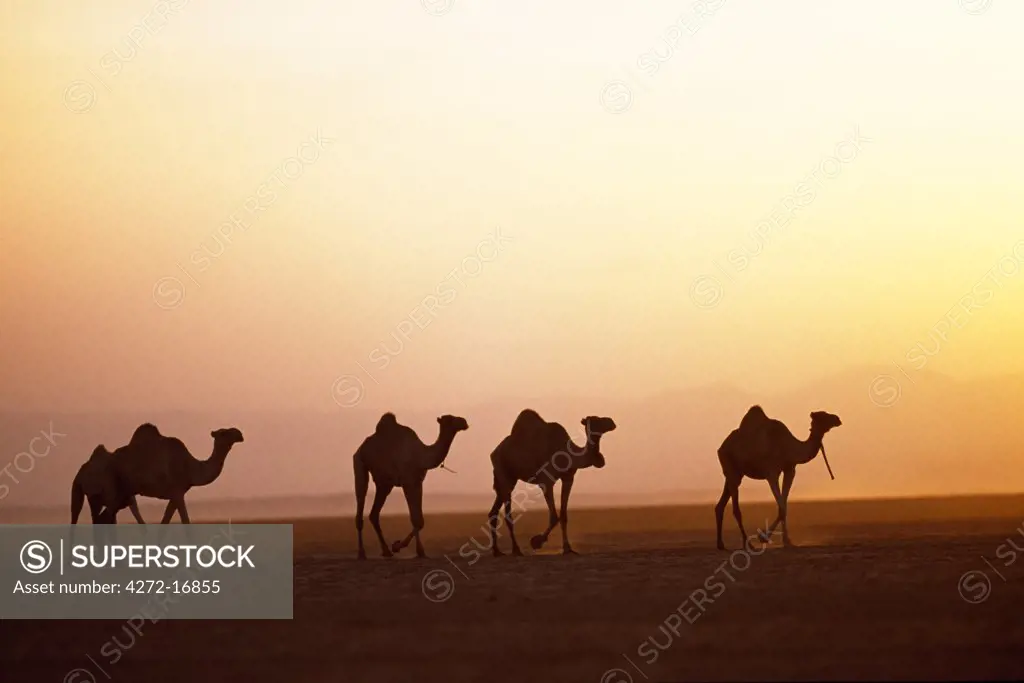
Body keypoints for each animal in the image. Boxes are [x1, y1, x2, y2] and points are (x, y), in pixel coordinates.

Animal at [106, 421, 245, 524]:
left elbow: (165, 522)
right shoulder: (177, 492)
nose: (240, 434)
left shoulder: (175, 494)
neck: (190, 467)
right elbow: (186, 522)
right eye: (223, 432)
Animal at [350, 413, 466, 557]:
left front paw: (416, 550)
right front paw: (400, 546)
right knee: (361, 500)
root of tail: (361, 448)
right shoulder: (408, 482)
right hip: (359, 463)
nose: (464, 421)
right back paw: (362, 553)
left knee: (374, 514)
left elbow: (419, 519)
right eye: (449, 419)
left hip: (384, 484)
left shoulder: (418, 482)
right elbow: (416, 519)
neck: (421, 456)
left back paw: (386, 551)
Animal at [487, 411, 614, 557]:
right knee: (508, 514)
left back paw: (497, 551)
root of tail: (494, 452)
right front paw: (536, 542)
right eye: (595, 420)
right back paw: (516, 550)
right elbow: (554, 516)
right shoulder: (546, 481)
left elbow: (563, 515)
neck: (568, 454)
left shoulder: (568, 478)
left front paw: (568, 548)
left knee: (493, 512)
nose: (611, 422)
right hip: (503, 473)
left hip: (509, 478)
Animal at [716, 405, 843, 548]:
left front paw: (786, 540)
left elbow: (784, 506)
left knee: (721, 505)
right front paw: (763, 537)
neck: (788, 447)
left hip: (736, 473)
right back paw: (748, 544)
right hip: (729, 464)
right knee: (736, 509)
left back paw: (720, 544)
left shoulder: (790, 470)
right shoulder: (772, 473)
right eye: (823, 415)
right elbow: (781, 508)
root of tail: (721, 447)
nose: (837, 418)